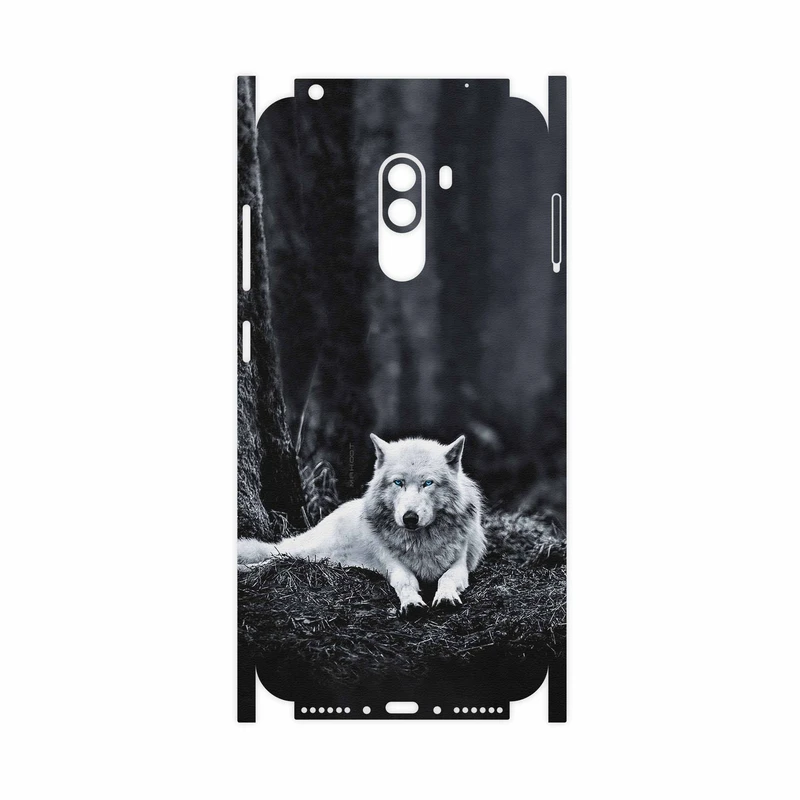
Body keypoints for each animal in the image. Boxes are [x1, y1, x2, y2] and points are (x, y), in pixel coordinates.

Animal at [238, 434, 486, 617]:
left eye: (428, 483)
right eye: (398, 482)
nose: (409, 518)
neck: (421, 542)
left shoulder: (460, 564)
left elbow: (447, 578)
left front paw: (445, 597)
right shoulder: (393, 565)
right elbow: (405, 582)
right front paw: (411, 603)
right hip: (307, 551)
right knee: (275, 557)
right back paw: (245, 568)